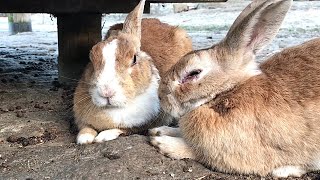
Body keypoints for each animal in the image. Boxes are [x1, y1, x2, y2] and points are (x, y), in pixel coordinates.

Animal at [73, 0, 192, 145]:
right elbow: (85, 127)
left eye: (134, 59)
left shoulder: (148, 123)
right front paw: (84, 138)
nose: (106, 92)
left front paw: (103, 136)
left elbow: (125, 129)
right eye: (91, 58)